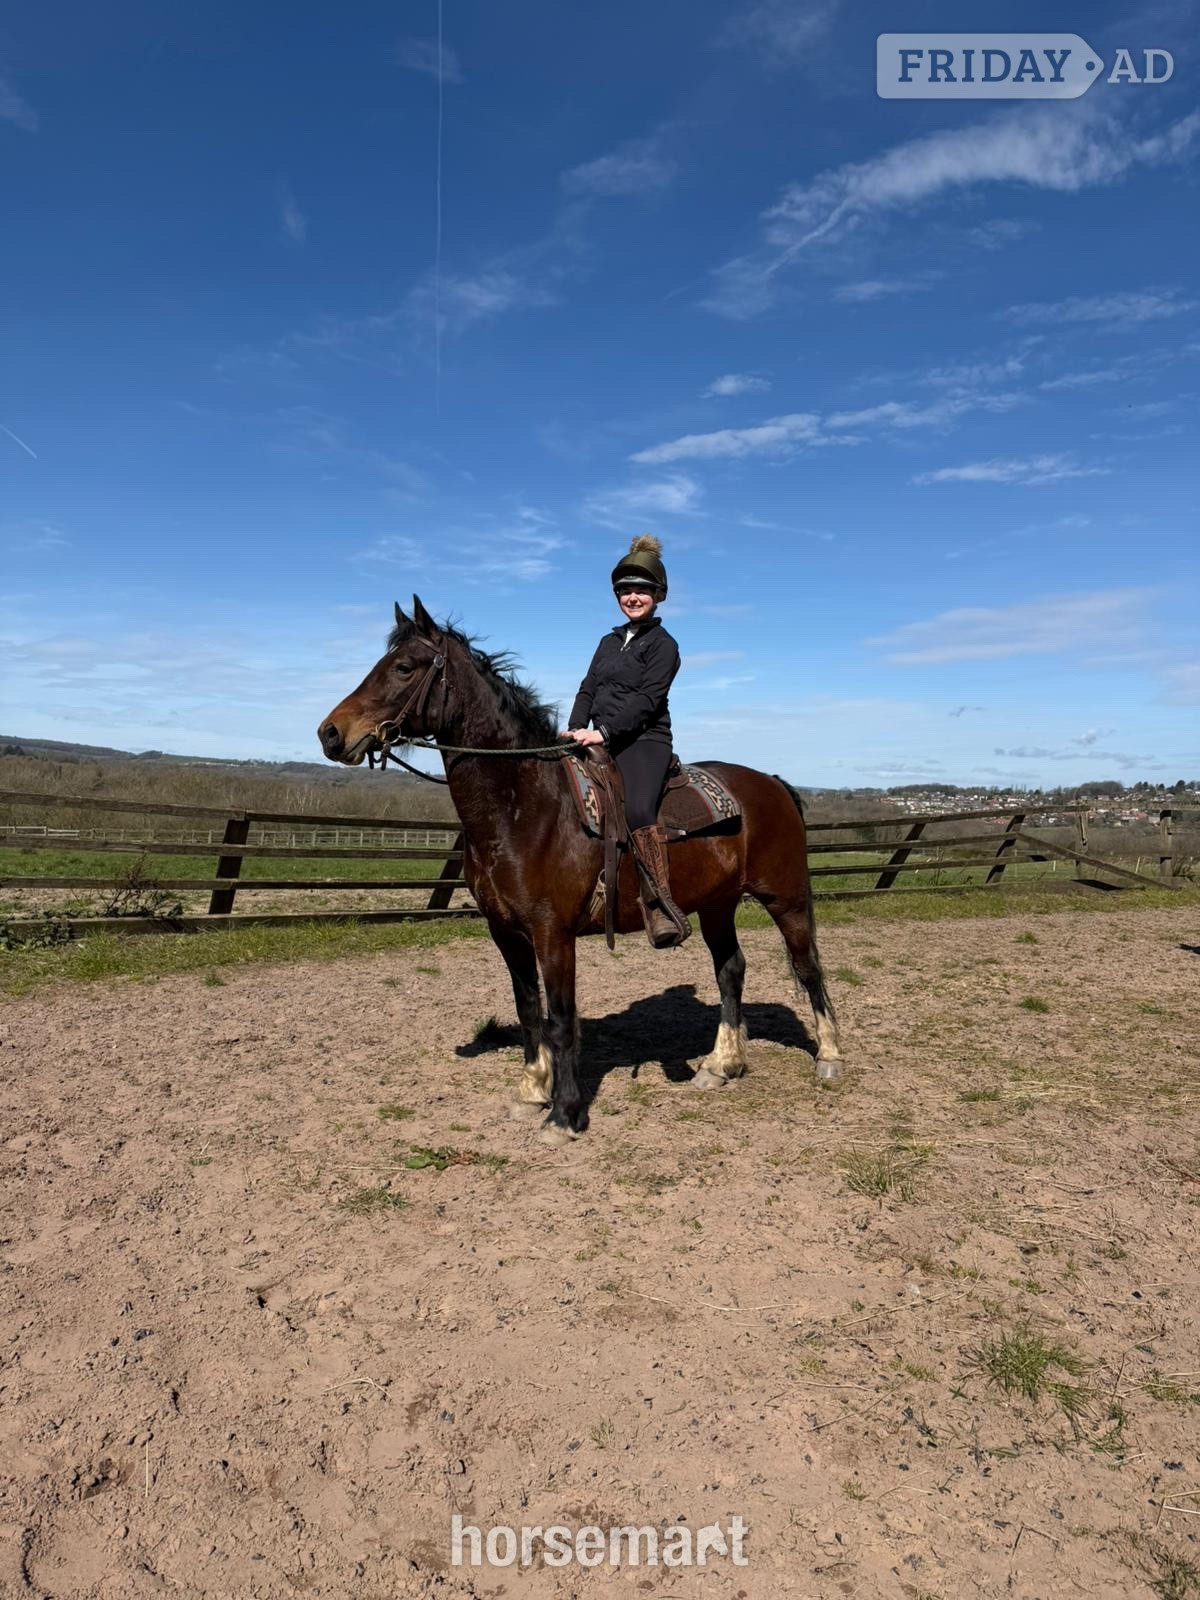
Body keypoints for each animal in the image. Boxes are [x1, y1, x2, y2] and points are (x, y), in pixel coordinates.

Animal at [318, 596, 843, 1145]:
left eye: (403, 667)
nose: (330, 733)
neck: (526, 805)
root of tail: (773, 783)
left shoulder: (553, 932)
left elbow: (561, 1017)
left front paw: (566, 1113)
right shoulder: (507, 932)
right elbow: (529, 1009)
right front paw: (532, 1091)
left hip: (785, 897)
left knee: (807, 965)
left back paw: (829, 1056)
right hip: (717, 905)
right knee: (730, 969)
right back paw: (721, 1065)